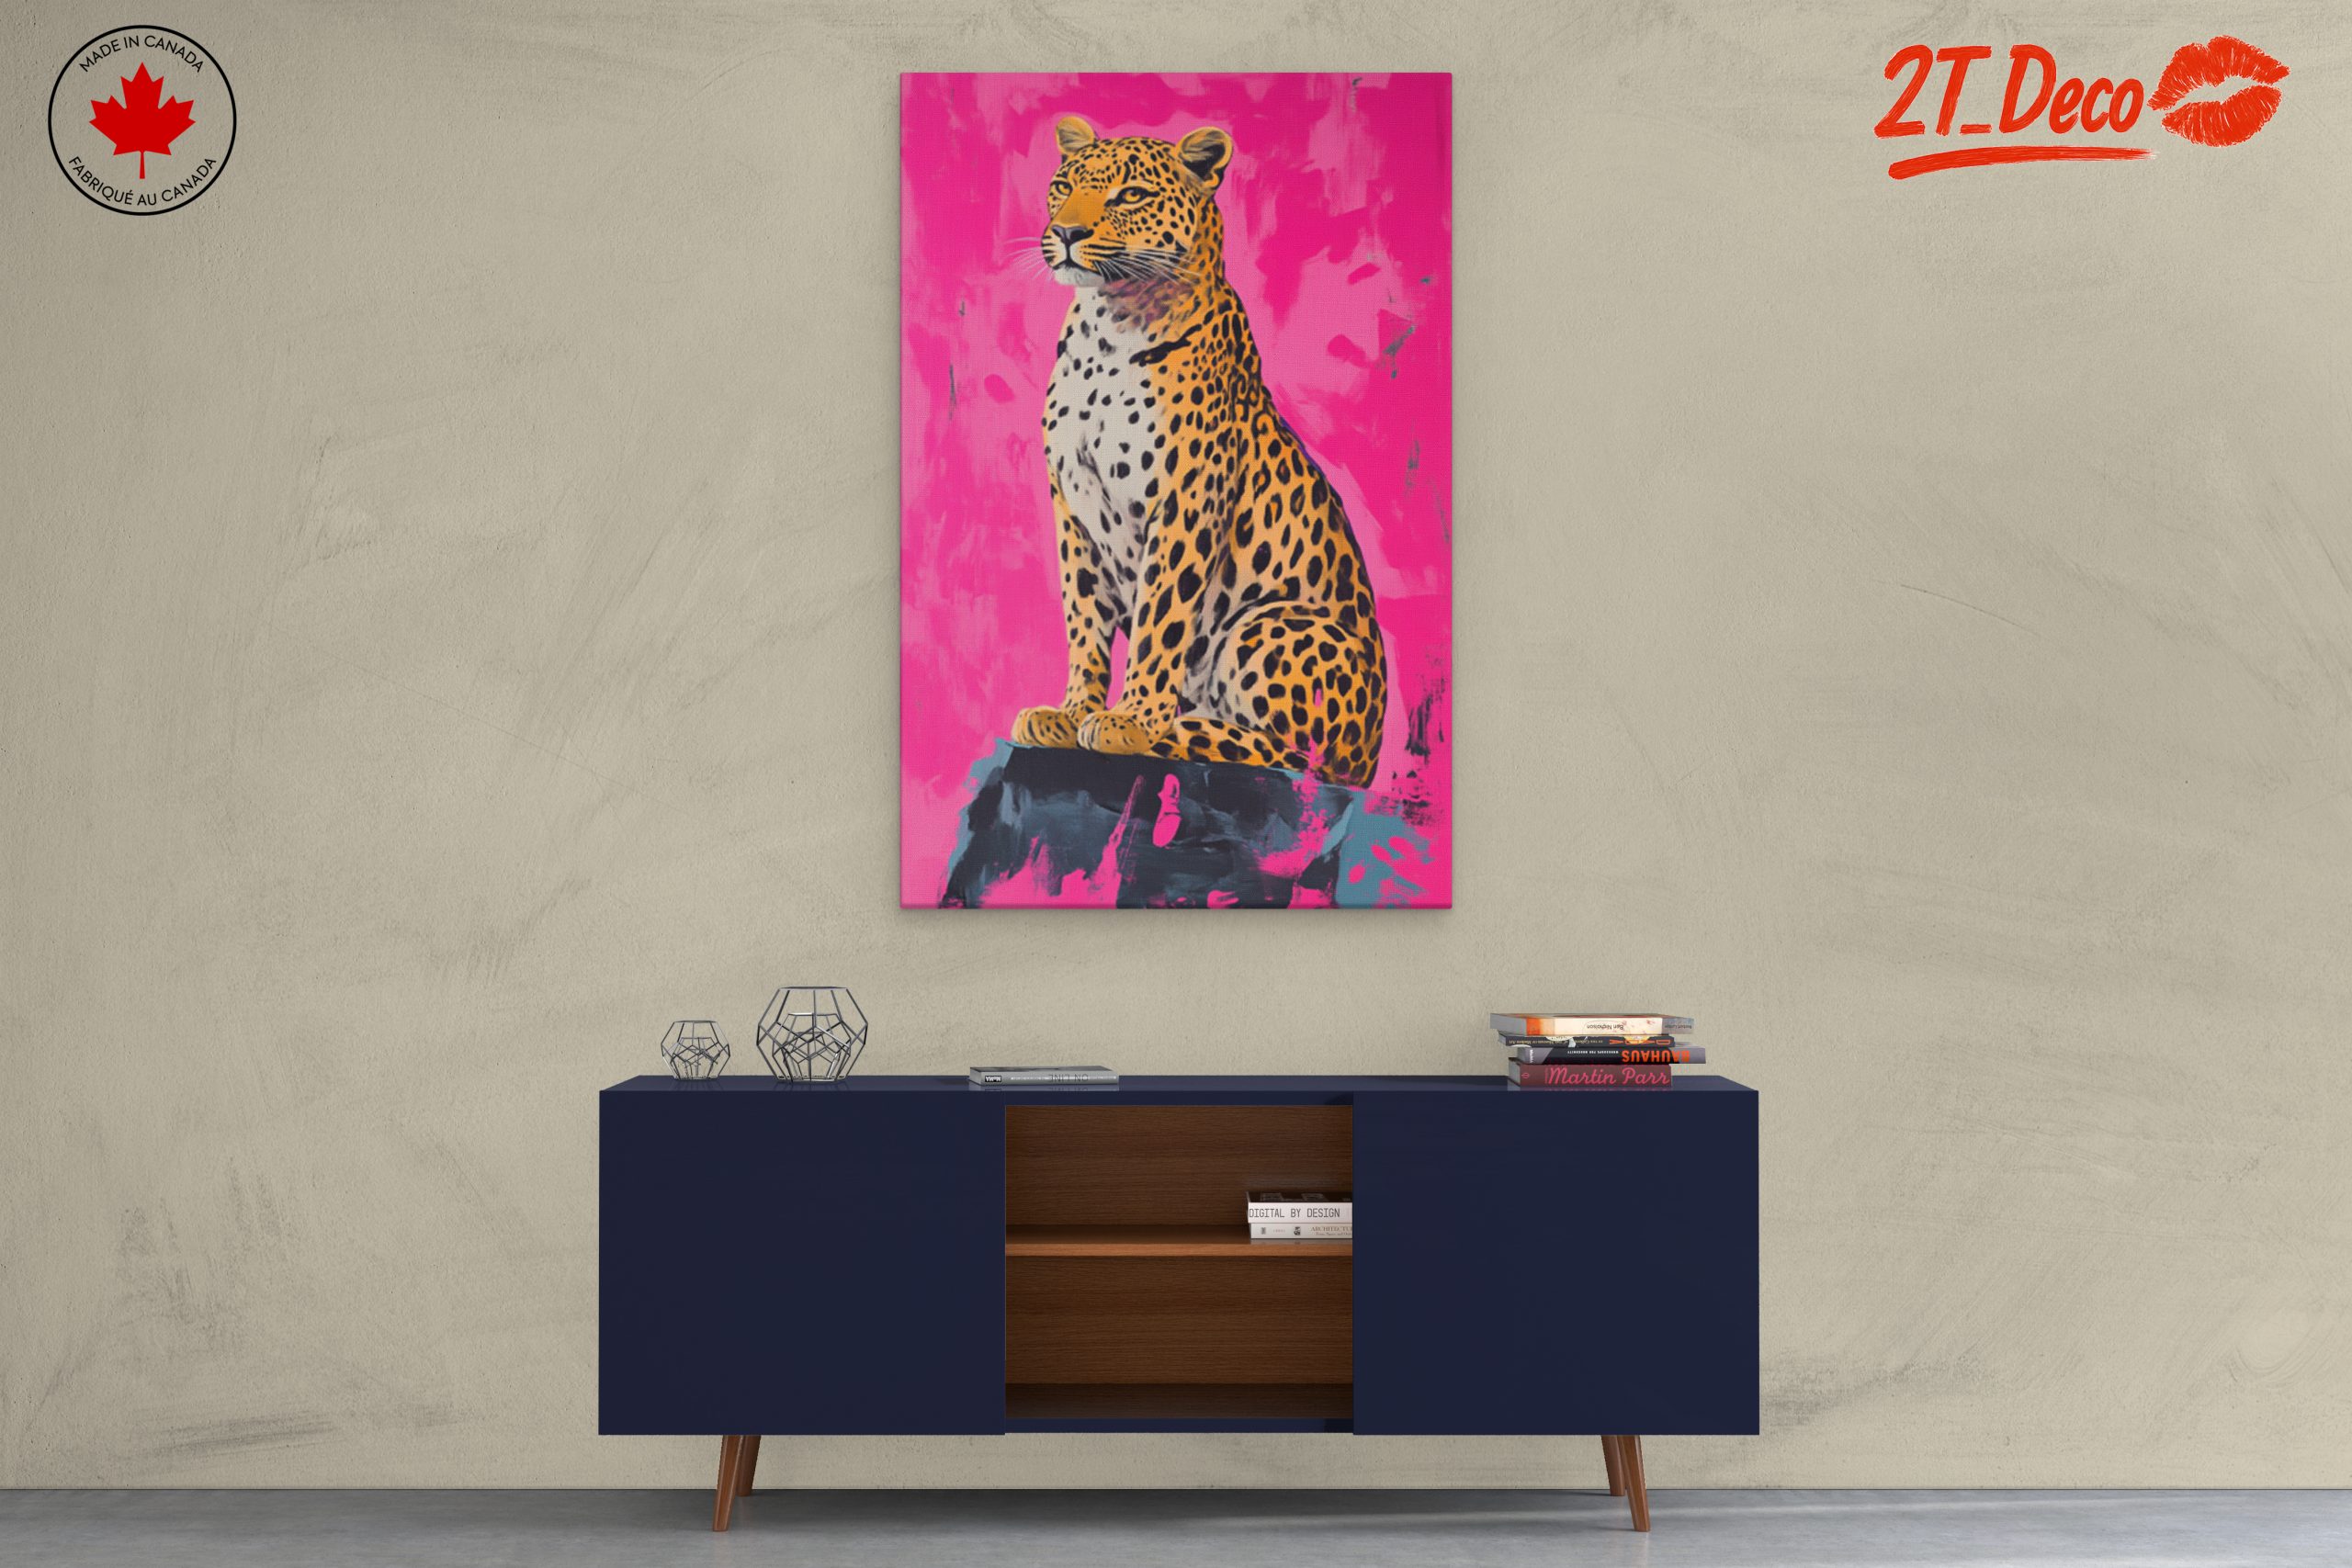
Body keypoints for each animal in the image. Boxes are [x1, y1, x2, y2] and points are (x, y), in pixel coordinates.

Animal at [1008, 115, 1389, 790]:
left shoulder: (1184, 500)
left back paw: (1172, 731)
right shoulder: (1072, 506)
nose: (1068, 233)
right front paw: (1072, 710)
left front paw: (1130, 720)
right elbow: (1083, 618)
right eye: (1063, 186)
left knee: (1298, 758)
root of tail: (1371, 755)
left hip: (1269, 626)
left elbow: (1160, 617)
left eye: (1131, 195)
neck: (1110, 328)